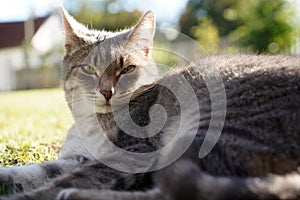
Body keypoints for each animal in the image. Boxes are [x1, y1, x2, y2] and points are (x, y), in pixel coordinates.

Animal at [0, 7, 298, 200]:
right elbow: (36, 171)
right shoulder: (77, 158)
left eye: (127, 69)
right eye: (88, 69)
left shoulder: (131, 152)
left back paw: (74, 194)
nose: (106, 91)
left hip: (204, 130)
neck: (91, 126)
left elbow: (69, 179)